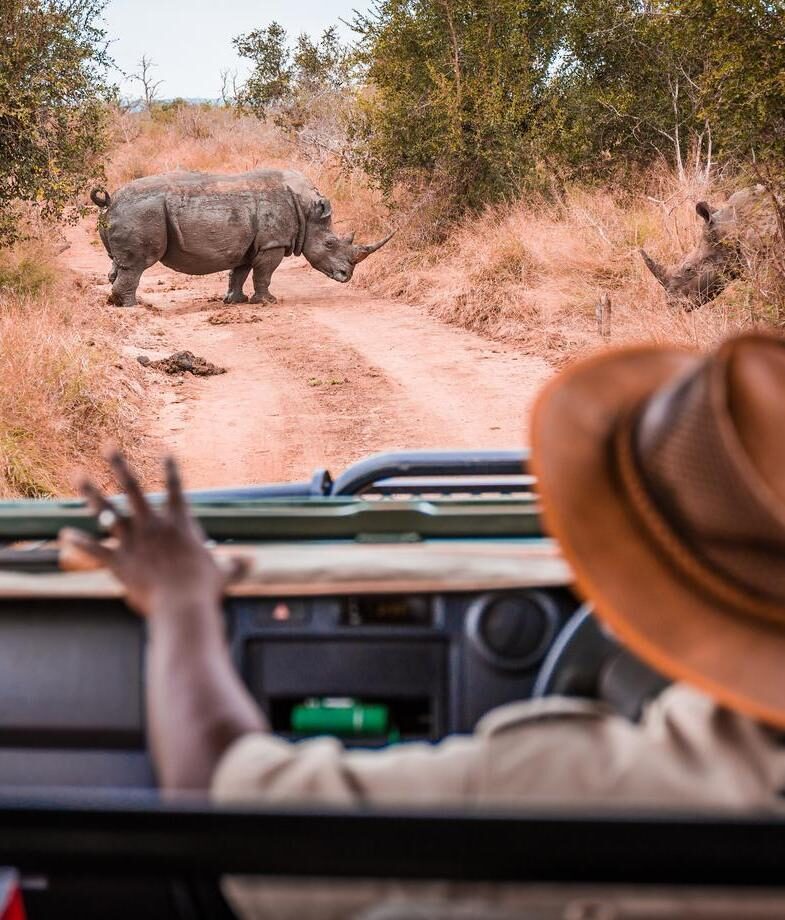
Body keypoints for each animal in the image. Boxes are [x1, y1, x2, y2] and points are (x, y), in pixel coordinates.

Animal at [90, 169, 395, 307]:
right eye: (330, 244)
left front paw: (235, 301)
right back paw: (134, 306)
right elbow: (264, 273)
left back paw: (118, 303)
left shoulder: (249, 244)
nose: (346, 276)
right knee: (137, 264)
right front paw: (268, 301)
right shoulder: (272, 243)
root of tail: (110, 201)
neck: (308, 211)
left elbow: (240, 271)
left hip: (130, 213)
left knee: (119, 263)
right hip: (141, 213)